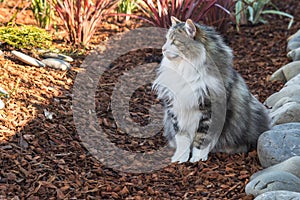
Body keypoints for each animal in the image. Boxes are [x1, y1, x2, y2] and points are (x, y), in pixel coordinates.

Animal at [151, 16, 270, 163]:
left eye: (174, 41)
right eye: (167, 40)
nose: (162, 49)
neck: (186, 70)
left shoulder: (209, 111)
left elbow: (201, 139)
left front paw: (197, 158)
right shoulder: (176, 110)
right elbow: (182, 138)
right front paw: (180, 158)